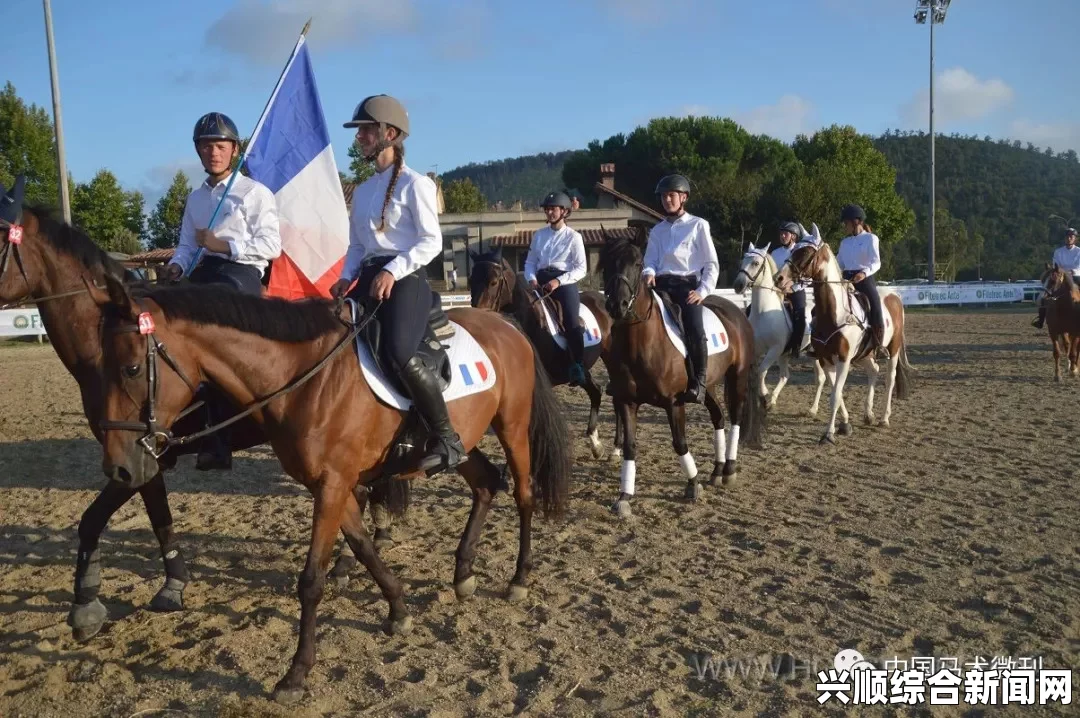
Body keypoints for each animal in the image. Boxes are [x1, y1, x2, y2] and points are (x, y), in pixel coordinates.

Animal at [87, 272, 574, 703]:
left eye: (132, 368)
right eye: (98, 368)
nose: (119, 468)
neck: (304, 378)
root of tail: (506, 326)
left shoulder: (332, 485)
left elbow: (311, 580)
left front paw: (296, 674)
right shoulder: (334, 486)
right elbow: (363, 547)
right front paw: (399, 610)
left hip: (512, 426)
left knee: (524, 495)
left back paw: (519, 578)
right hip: (463, 439)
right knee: (487, 484)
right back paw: (464, 573)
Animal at [468, 245, 622, 459]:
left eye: (493, 282)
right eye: (470, 281)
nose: (477, 316)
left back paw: (616, 449)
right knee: (596, 392)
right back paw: (596, 445)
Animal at [596, 232, 764, 518]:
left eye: (638, 263)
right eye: (607, 263)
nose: (617, 305)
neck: (643, 342)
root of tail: (735, 311)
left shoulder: (674, 403)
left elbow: (680, 443)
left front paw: (693, 484)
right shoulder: (627, 401)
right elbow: (630, 446)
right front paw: (624, 497)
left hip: (737, 377)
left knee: (735, 418)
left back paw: (729, 470)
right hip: (708, 387)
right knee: (718, 417)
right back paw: (717, 470)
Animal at [730, 236, 829, 414]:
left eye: (755, 263)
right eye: (743, 261)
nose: (738, 285)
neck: (763, 312)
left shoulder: (774, 349)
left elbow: (762, 371)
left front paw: (763, 394)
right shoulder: (758, 349)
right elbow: (754, 373)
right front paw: (760, 399)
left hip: (813, 353)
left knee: (821, 378)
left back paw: (813, 409)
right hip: (789, 355)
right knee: (785, 376)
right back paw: (773, 401)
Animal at [773, 234, 915, 442]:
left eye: (805, 252)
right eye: (793, 250)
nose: (779, 278)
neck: (836, 314)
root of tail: (894, 295)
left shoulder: (844, 359)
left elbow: (835, 395)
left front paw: (829, 434)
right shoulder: (826, 360)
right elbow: (836, 393)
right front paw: (845, 424)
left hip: (893, 349)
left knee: (890, 378)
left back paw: (884, 419)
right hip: (865, 353)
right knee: (873, 370)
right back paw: (868, 414)